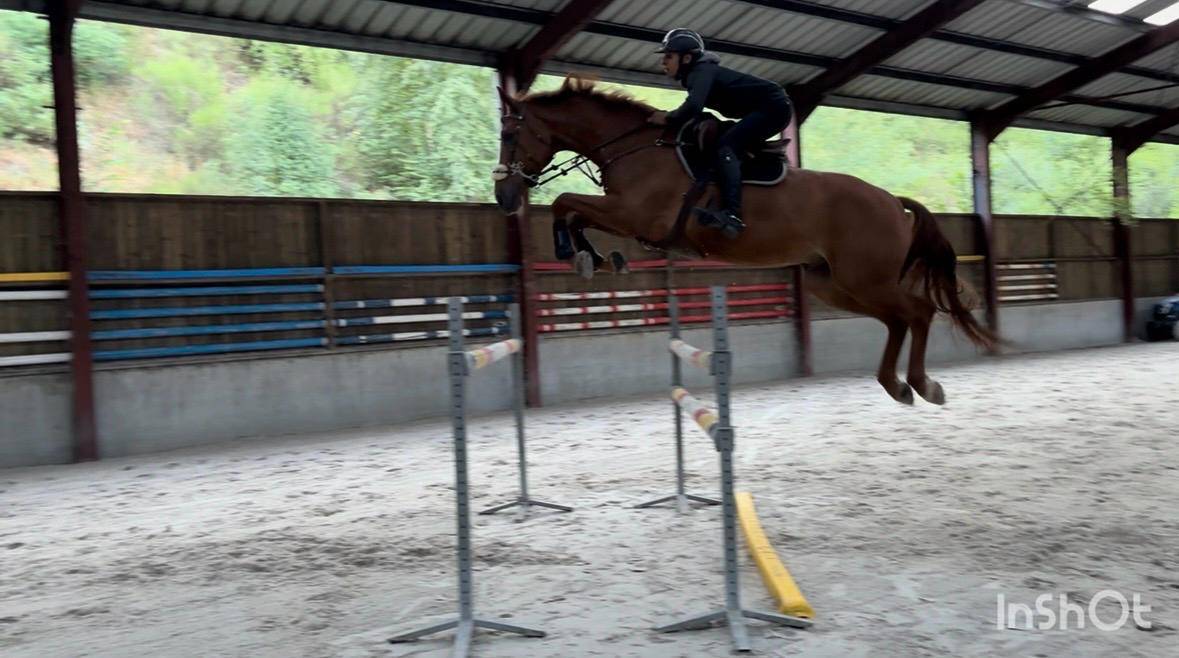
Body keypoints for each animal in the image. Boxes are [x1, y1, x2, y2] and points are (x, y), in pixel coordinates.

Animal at [492, 77, 998, 405]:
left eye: (510, 133)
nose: (504, 196)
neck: (634, 147)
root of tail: (893, 201)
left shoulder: (635, 216)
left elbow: (565, 201)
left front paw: (576, 252)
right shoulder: (624, 215)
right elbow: (570, 209)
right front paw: (591, 257)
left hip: (865, 278)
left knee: (918, 312)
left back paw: (922, 385)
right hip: (835, 284)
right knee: (897, 320)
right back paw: (898, 385)